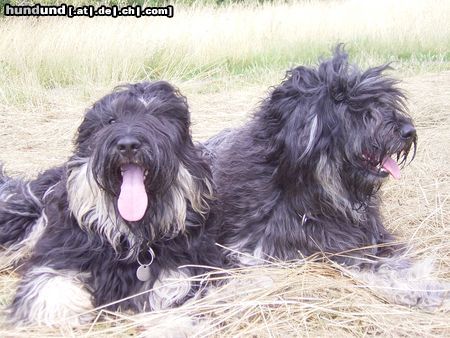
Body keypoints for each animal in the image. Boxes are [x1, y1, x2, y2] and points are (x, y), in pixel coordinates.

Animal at [0, 80, 223, 326]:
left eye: (156, 116)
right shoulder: (59, 256)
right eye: (111, 120)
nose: (128, 145)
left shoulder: (182, 272)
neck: (131, 236)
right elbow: (52, 292)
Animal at [206, 47, 448, 308]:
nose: (408, 131)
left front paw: (419, 284)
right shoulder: (253, 246)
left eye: (382, 101)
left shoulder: (369, 235)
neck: (314, 195)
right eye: (348, 106)